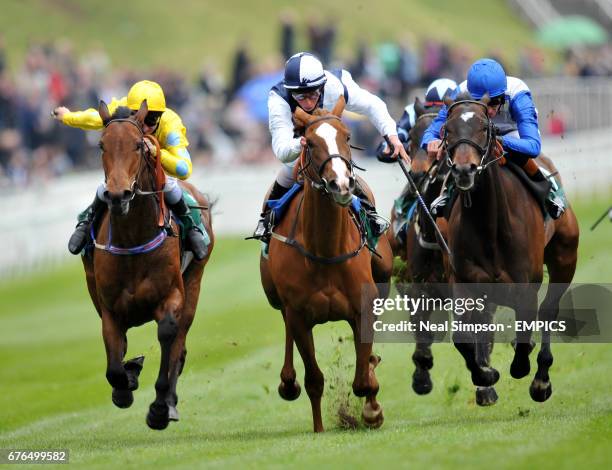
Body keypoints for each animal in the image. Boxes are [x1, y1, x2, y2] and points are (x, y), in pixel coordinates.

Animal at [81, 101, 215, 432]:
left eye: (139, 146)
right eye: (101, 145)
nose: (118, 195)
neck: (133, 239)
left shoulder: (172, 296)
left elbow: (169, 335)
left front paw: (158, 407)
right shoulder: (109, 307)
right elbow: (114, 364)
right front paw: (126, 382)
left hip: (195, 281)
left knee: (180, 344)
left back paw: (169, 404)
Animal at [258, 96, 392, 434]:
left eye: (347, 135)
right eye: (311, 141)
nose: (341, 184)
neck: (326, 248)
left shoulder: (363, 307)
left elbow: (362, 378)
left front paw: (372, 410)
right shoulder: (298, 314)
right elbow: (315, 380)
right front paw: (319, 428)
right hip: (276, 297)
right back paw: (287, 381)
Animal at [440, 92, 580, 404]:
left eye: (484, 128)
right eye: (447, 130)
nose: (464, 170)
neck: (490, 227)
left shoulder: (525, 287)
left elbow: (525, 337)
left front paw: (523, 366)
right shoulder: (463, 283)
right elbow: (462, 336)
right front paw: (485, 375)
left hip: (565, 257)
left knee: (548, 311)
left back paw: (541, 380)